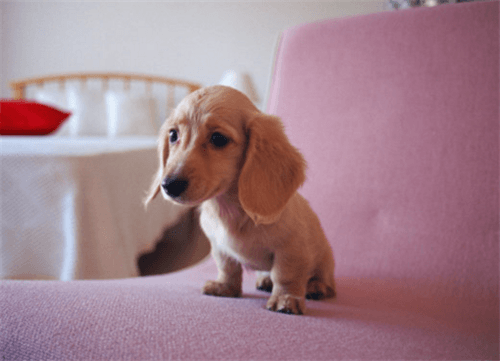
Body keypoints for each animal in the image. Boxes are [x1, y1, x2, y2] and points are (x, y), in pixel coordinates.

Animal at [145, 86, 336, 314]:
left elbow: (286, 275)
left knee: (323, 278)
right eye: (173, 134)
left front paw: (286, 298)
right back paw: (265, 280)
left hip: (325, 259)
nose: (169, 185)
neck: (230, 210)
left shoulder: (291, 248)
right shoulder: (220, 248)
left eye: (218, 138)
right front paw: (225, 287)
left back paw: (317, 287)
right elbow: (228, 268)